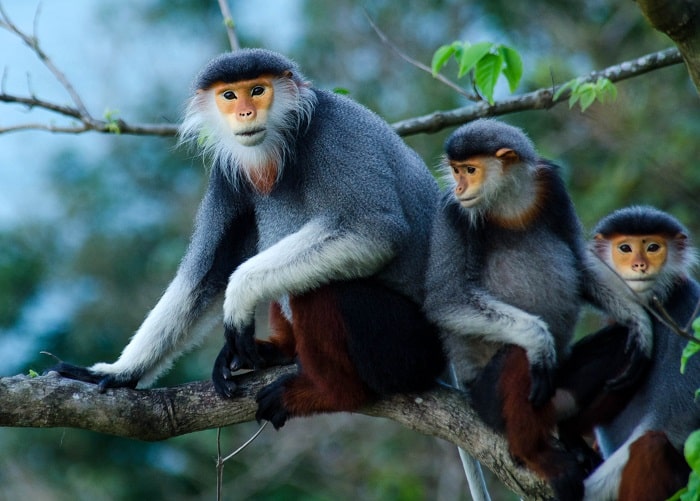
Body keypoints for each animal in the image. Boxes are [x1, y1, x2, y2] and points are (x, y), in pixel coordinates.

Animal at [48, 48, 446, 429]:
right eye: (229, 95)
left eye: (257, 91)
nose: (245, 113)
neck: (284, 142)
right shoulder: (229, 172)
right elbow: (206, 276)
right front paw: (120, 373)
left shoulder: (337, 136)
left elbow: (375, 231)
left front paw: (239, 296)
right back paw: (281, 349)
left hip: (406, 351)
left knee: (324, 287)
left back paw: (333, 392)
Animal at [422, 119, 653, 500]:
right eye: (456, 170)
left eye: (469, 170)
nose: (458, 186)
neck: (508, 201)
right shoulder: (452, 212)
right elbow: (447, 298)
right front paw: (540, 338)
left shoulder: (551, 187)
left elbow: (579, 263)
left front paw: (640, 324)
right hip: (486, 397)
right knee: (520, 357)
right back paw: (535, 454)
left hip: (563, 382)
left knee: (623, 349)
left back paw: (572, 436)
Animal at [555, 206, 699, 500]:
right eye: (625, 248)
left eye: (653, 247)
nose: (639, 265)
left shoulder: (688, 306)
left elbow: (676, 417)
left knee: (652, 444)